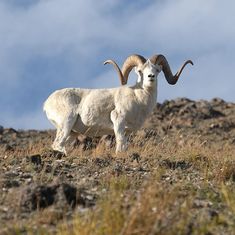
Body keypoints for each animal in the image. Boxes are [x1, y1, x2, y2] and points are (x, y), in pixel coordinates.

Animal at [43, 54, 193, 155]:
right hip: (66, 124)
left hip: (71, 133)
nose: (151, 77)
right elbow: (120, 145)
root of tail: (47, 103)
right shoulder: (118, 122)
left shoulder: (127, 131)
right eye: (140, 71)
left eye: (156, 70)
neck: (138, 99)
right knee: (57, 144)